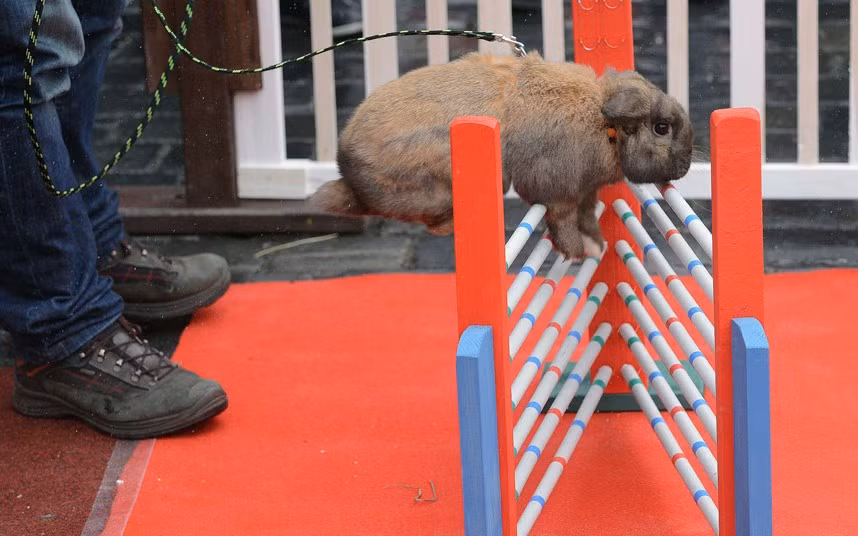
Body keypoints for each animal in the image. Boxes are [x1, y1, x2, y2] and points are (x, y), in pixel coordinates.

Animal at [310, 51, 693, 260]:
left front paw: (596, 246)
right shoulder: (557, 191)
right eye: (662, 128)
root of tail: (346, 171)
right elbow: (563, 221)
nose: (686, 165)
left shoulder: (585, 191)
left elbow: (587, 215)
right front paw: (574, 253)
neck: (605, 126)